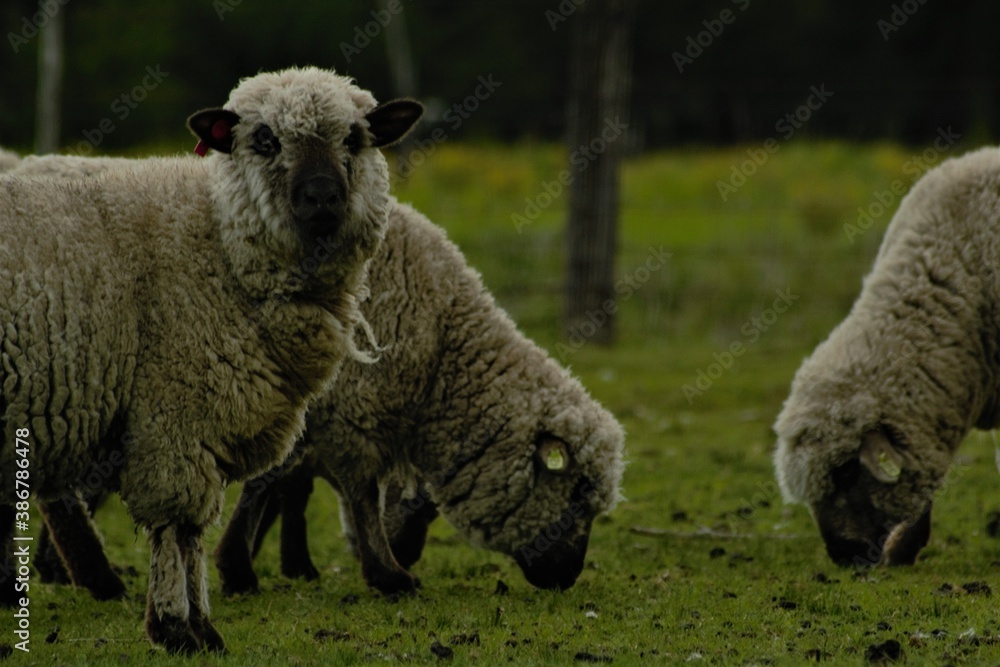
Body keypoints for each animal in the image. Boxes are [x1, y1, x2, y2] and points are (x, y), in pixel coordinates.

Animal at [0, 66, 422, 653]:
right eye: (265, 139)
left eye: (355, 138)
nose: (322, 198)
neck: (216, 241)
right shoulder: (173, 411)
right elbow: (175, 525)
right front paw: (176, 627)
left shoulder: (200, 422)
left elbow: (194, 533)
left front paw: (200, 626)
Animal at [214, 200, 626, 596]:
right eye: (578, 492)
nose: (568, 577)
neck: (442, 351)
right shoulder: (351, 400)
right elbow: (358, 488)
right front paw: (388, 576)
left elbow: (275, 477)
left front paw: (240, 566)